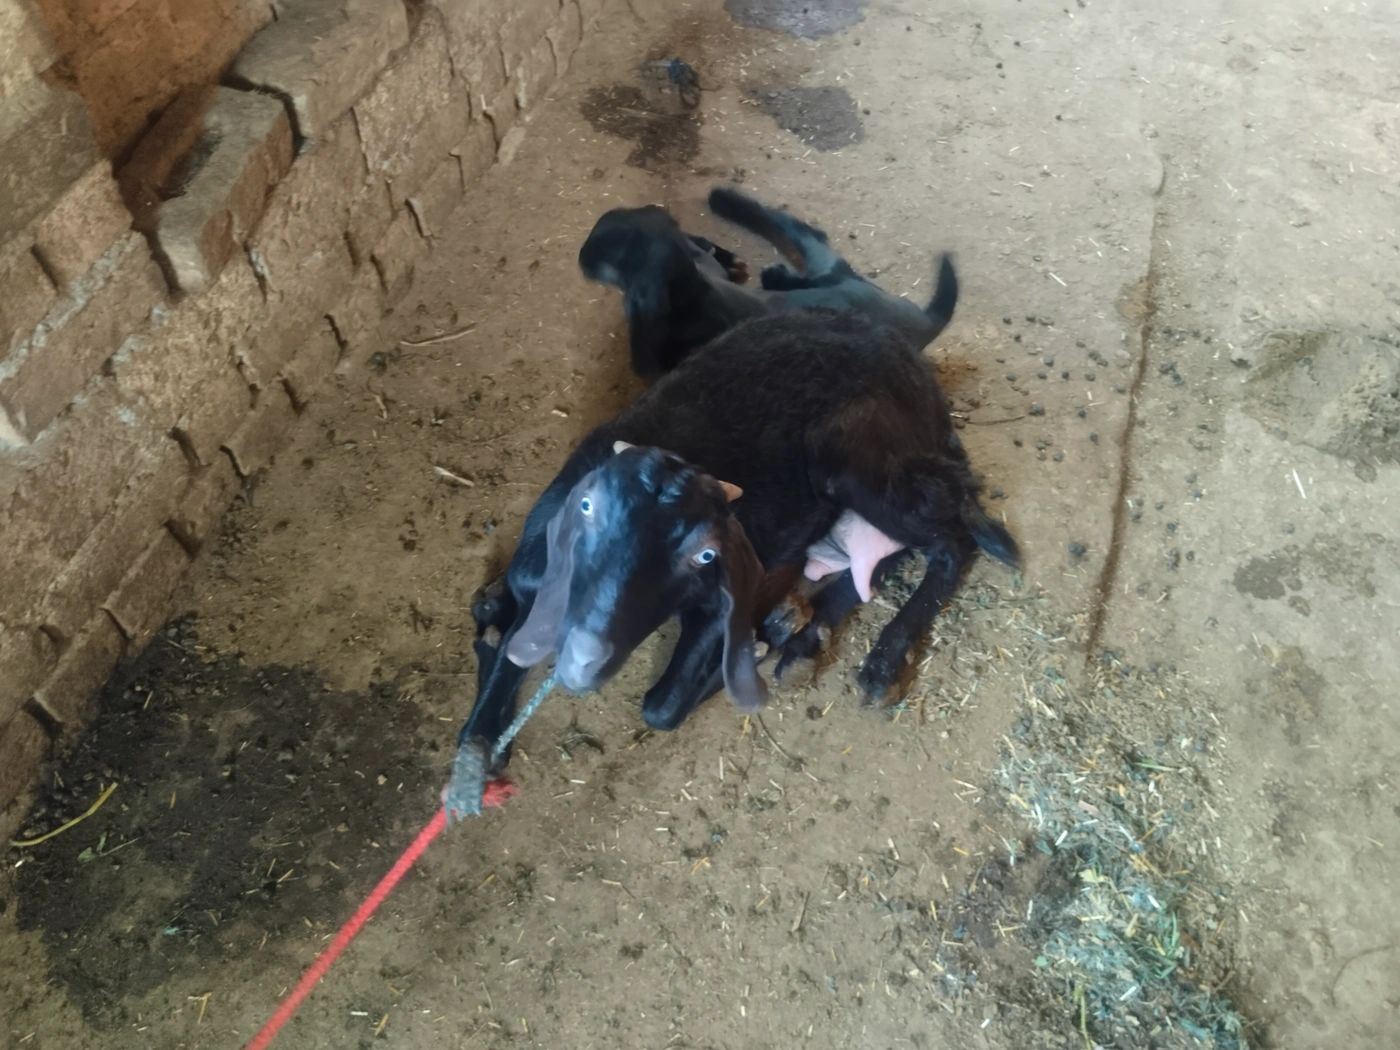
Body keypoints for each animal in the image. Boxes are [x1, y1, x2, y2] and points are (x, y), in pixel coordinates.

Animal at [451, 310, 1017, 815]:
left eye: (704, 553)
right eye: (587, 519)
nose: (587, 657)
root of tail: (919, 372)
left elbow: (661, 706)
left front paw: (753, 650)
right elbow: (488, 700)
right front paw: (477, 759)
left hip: (862, 463)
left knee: (951, 540)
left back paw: (874, 661)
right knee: (884, 553)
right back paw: (802, 633)